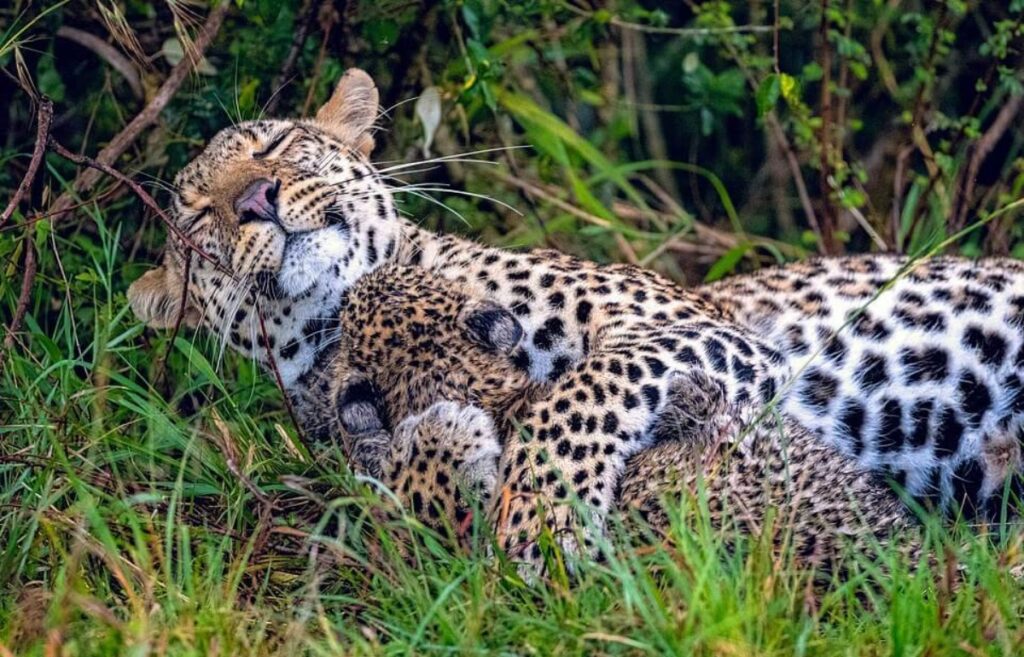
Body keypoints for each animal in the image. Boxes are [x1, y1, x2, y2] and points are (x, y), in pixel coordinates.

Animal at [128, 67, 1024, 568]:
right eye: (197, 218)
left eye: (276, 144)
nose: (254, 198)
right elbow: (415, 490)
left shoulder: (709, 330)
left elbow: (580, 387)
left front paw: (544, 517)